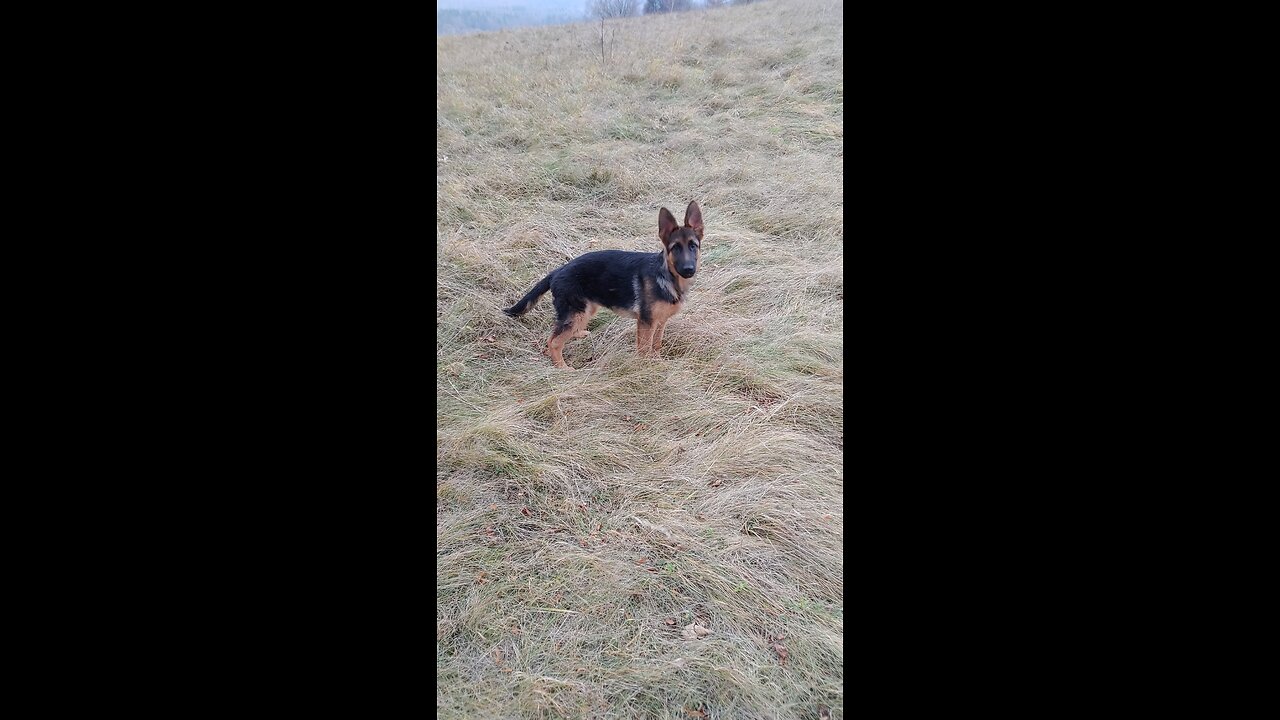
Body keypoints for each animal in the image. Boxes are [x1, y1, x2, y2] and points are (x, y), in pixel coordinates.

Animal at [504, 199, 706, 368]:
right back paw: (562, 368)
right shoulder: (646, 322)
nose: (689, 269)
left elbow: (656, 345)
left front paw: (656, 362)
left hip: (586, 309)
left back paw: (579, 334)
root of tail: (557, 271)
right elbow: (644, 348)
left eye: (693, 246)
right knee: (553, 342)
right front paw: (645, 367)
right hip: (576, 312)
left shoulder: (660, 322)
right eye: (675, 248)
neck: (667, 276)